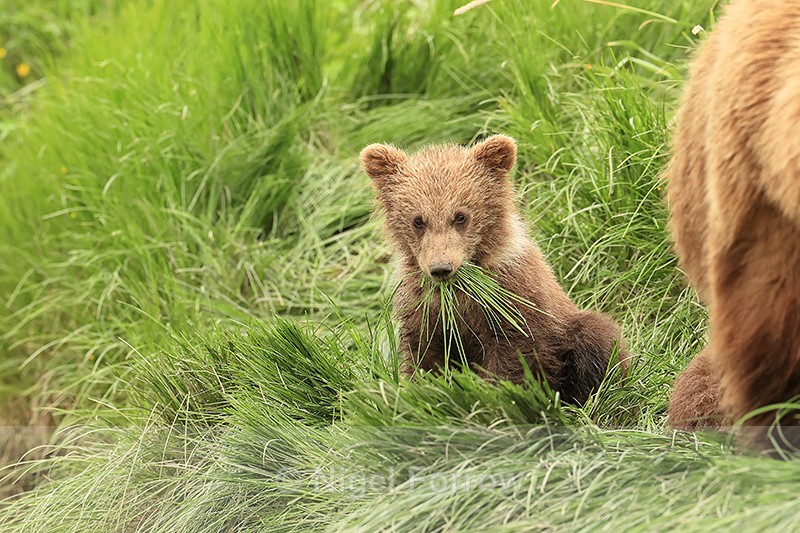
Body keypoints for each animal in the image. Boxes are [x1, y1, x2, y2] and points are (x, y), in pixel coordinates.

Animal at [360, 135, 629, 404]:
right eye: (418, 220)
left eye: (460, 216)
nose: (441, 268)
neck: (458, 293)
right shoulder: (424, 309)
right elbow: (424, 358)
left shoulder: (511, 301)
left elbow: (512, 358)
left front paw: (494, 396)